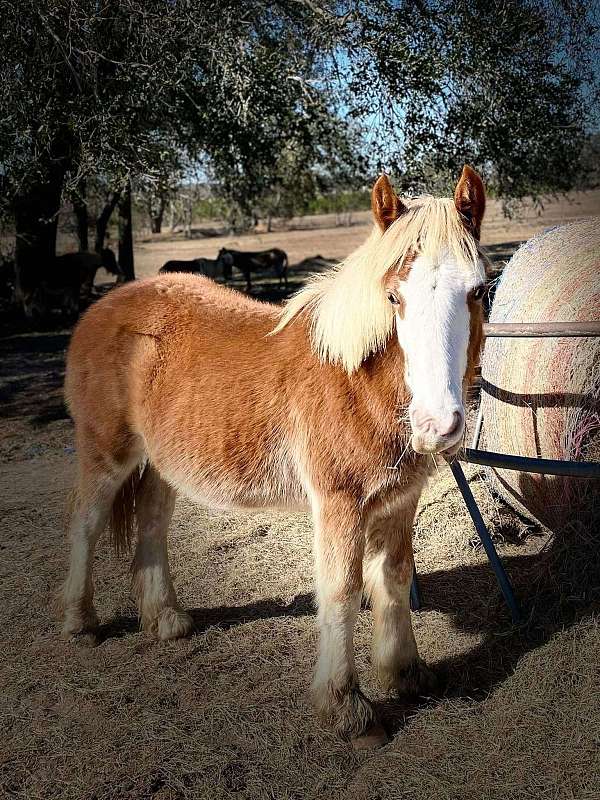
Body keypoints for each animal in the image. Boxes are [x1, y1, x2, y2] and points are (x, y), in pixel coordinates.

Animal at [58, 166, 486, 748]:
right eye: (394, 297)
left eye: (478, 289)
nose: (437, 425)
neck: (354, 381)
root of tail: (102, 307)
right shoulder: (338, 504)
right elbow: (341, 591)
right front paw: (346, 711)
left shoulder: (400, 501)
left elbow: (394, 577)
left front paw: (405, 673)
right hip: (107, 451)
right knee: (86, 522)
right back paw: (79, 624)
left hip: (163, 464)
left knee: (151, 523)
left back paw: (165, 619)